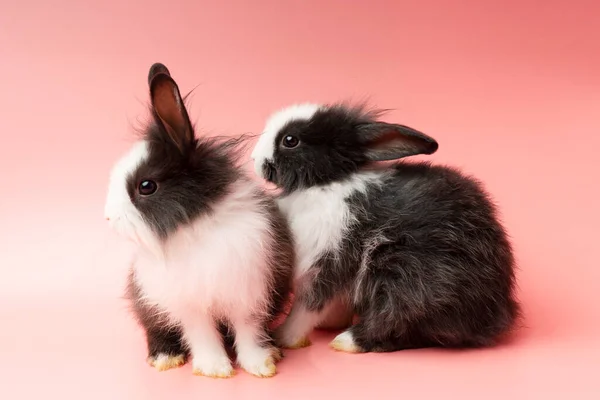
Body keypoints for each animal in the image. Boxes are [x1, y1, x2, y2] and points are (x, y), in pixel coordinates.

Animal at [103, 63, 296, 378]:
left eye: (146, 186)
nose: (108, 217)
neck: (195, 227)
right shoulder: (187, 303)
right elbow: (202, 334)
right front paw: (215, 369)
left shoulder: (249, 292)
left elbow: (248, 331)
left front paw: (261, 365)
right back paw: (165, 358)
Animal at [250, 103, 520, 354]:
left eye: (290, 140)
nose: (254, 159)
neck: (327, 183)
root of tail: (498, 313)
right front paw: (331, 323)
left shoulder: (329, 260)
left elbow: (308, 306)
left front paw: (284, 337)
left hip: (411, 275)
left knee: (400, 319)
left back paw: (347, 341)